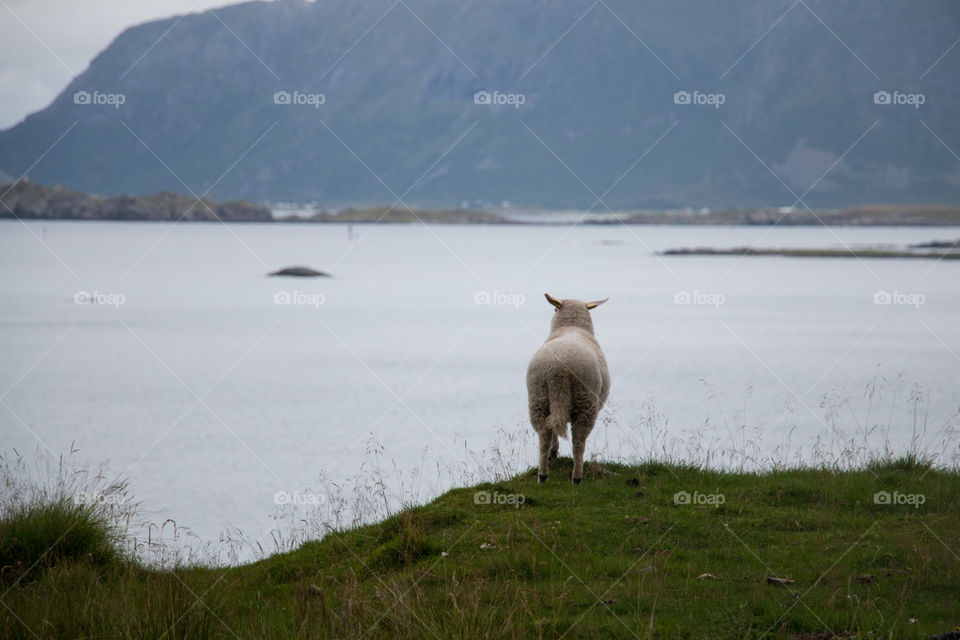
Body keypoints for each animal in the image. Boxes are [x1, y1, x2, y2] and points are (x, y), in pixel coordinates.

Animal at [524, 292, 608, 482]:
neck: (572, 326)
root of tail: (558, 368)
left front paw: (553, 454)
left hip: (539, 397)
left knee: (544, 434)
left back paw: (543, 475)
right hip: (585, 400)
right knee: (578, 440)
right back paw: (577, 477)